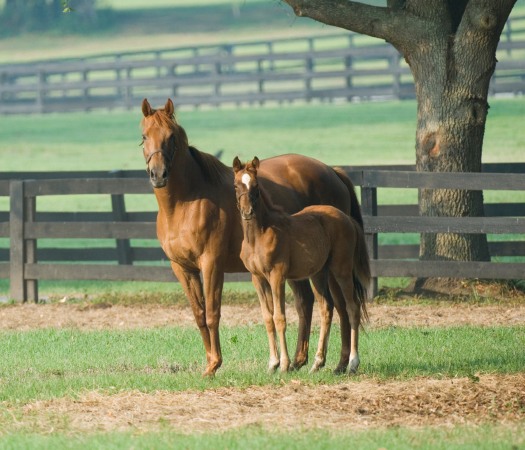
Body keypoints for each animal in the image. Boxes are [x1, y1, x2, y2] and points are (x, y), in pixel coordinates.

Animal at [138, 98, 364, 376]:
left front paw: (215, 364)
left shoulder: (211, 264)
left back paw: (342, 362)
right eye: (144, 136)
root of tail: (332, 172)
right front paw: (209, 361)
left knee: (342, 306)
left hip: (332, 266)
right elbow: (199, 314)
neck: (186, 202)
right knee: (309, 303)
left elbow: (212, 313)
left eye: (171, 137)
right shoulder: (182, 268)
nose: (158, 174)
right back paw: (308, 361)